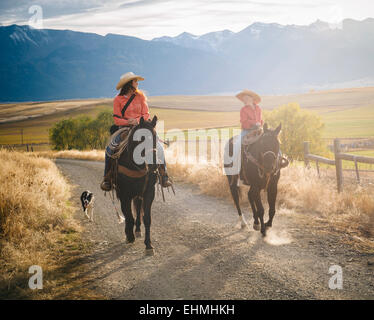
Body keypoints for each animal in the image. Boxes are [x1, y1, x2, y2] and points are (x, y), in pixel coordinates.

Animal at [116, 116, 159, 254]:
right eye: (141, 138)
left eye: (155, 136)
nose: (154, 164)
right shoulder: (124, 195)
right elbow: (128, 216)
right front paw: (129, 236)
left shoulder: (149, 193)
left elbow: (147, 218)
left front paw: (149, 245)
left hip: (138, 194)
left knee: (138, 207)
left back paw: (138, 230)